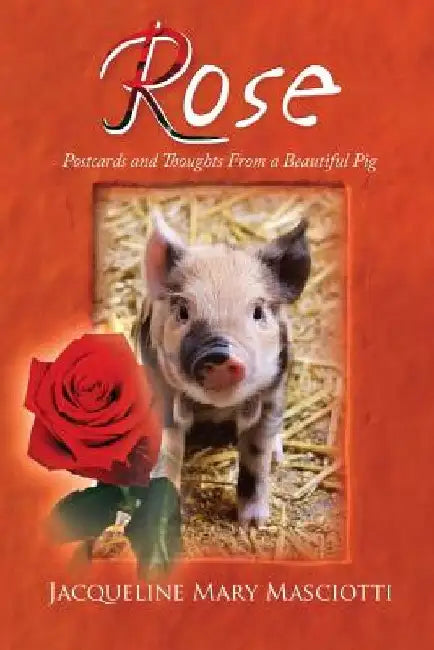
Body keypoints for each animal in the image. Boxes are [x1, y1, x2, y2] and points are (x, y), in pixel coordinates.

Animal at [138, 213, 311, 525]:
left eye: (258, 312)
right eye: (183, 311)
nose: (219, 354)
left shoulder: (271, 395)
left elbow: (256, 458)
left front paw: (253, 525)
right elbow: (168, 455)